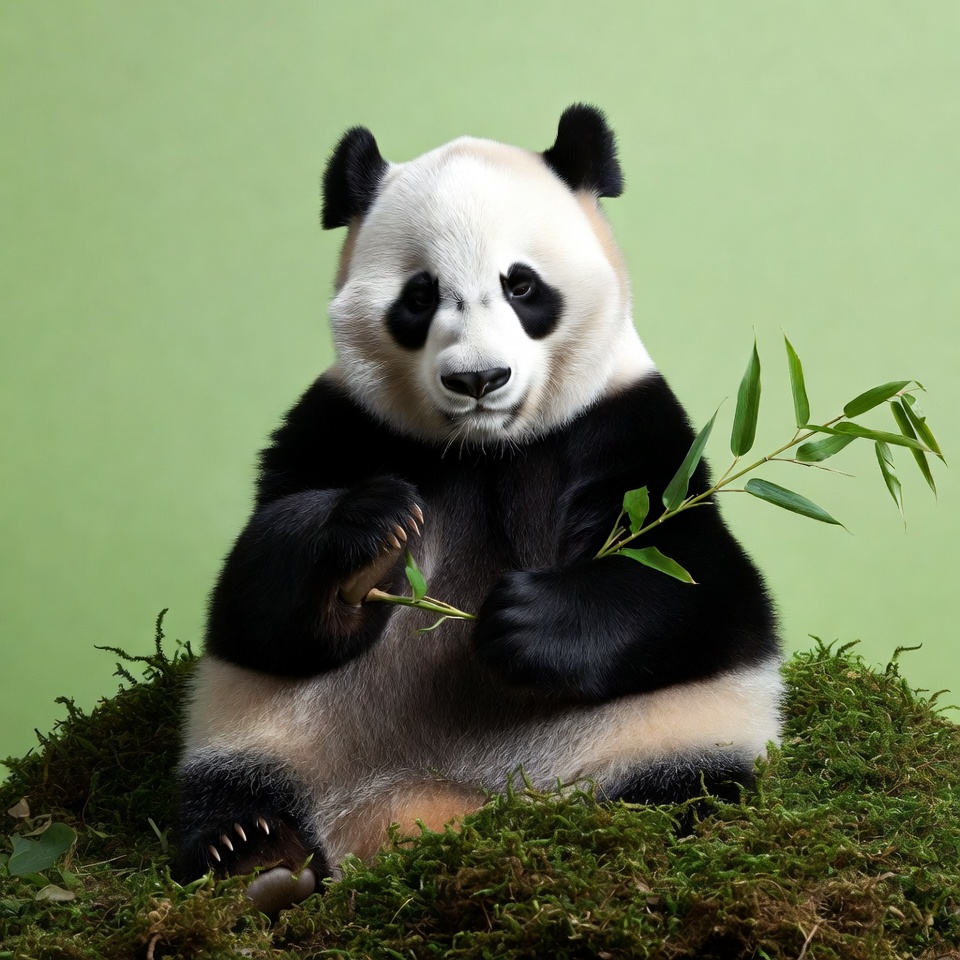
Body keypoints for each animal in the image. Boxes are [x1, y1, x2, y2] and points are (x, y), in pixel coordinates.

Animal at [175, 104, 782, 909]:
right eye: (420, 295)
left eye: (522, 286)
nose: (478, 379)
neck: (485, 449)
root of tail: (443, 806)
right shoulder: (344, 424)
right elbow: (254, 594)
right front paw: (367, 538)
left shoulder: (628, 426)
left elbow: (702, 587)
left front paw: (524, 619)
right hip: (270, 731)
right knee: (232, 786)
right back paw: (256, 855)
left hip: (658, 736)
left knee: (689, 792)